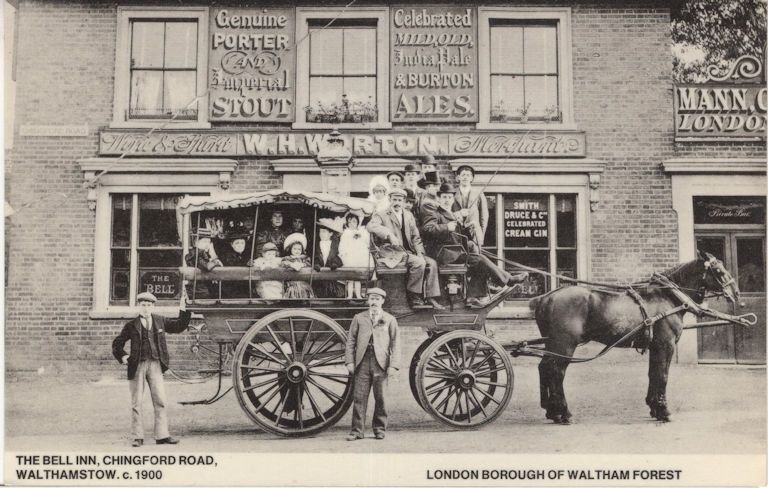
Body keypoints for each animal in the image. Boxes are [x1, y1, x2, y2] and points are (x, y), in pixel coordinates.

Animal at [532, 252, 740, 424]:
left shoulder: (656, 346)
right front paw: (664, 411)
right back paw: (564, 413)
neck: (668, 297)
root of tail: (546, 298)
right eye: (719, 270)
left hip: (553, 343)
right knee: (557, 372)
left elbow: (653, 374)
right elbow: (663, 375)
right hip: (564, 344)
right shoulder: (666, 345)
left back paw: (552, 411)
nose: (736, 293)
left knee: (545, 367)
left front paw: (654, 407)